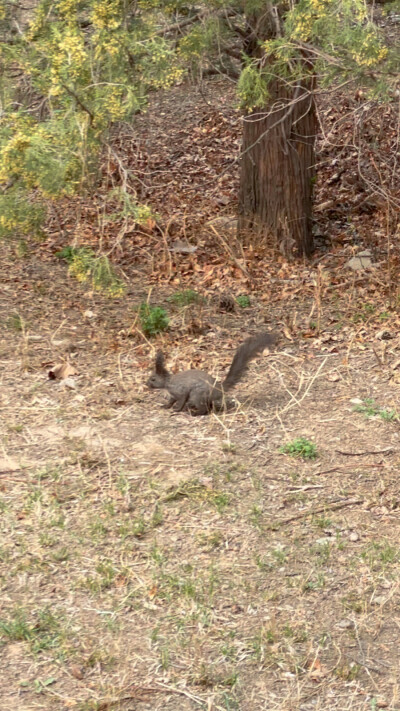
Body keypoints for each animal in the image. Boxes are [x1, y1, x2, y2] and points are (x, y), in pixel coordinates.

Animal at [147, 334, 276, 418]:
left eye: (153, 379)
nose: (146, 384)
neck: (168, 382)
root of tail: (218, 389)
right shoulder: (173, 394)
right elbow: (171, 401)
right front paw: (166, 406)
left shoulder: (180, 391)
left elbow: (181, 400)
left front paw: (177, 409)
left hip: (197, 395)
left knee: (204, 409)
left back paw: (194, 413)